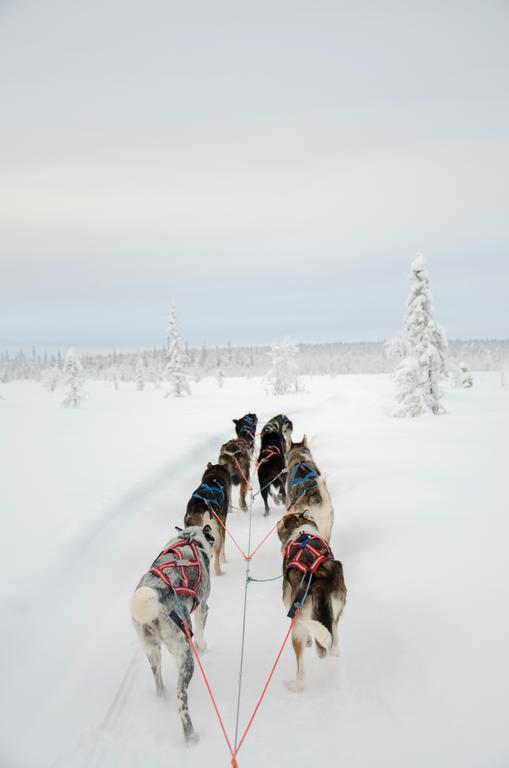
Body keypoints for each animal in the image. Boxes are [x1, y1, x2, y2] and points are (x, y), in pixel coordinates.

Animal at [129, 524, 214, 740]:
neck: (190, 538)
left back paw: (162, 696)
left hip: (152, 651)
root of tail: (156, 593)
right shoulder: (203, 607)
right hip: (184, 655)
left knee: (158, 682)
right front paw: (204, 649)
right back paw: (191, 736)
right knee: (181, 696)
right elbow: (201, 634)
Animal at [278, 512, 346, 692]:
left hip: (296, 627)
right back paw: (329, 649)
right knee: (334, 641)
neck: (301, 530)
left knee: (301, 673)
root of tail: (318, 577)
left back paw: (295, 685)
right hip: (338, 607)